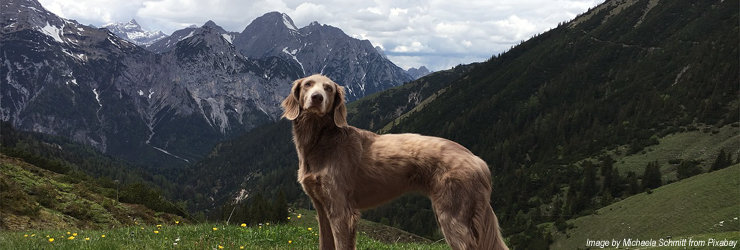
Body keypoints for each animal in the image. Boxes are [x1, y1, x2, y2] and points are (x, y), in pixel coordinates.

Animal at [282, 74, 508, 250]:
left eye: (328, 88)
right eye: (308, 84)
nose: (317, 98)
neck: (320, 142)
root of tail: (478, 160)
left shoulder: (342, 211)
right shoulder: (321, 208)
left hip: (454, 216)